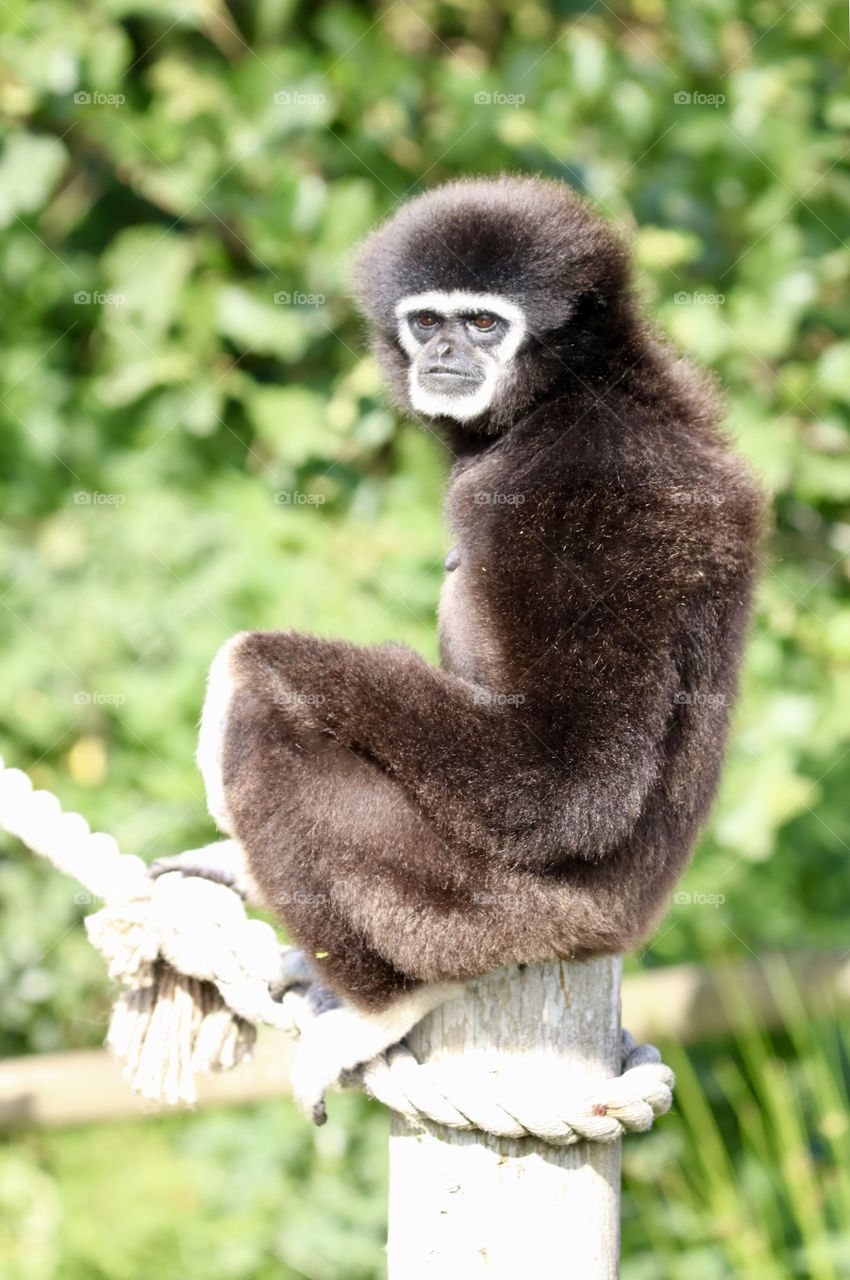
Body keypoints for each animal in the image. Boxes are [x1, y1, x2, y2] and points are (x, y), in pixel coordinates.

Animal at [153, 175, 766, 1122]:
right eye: (428, 321)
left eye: (484, 323)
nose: (445, 353)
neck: (570, 397)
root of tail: (625, 928)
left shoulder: (589, 491)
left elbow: (566, 778)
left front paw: (237, 662)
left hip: (501, 911)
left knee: (273, 724)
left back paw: (384, 1004)